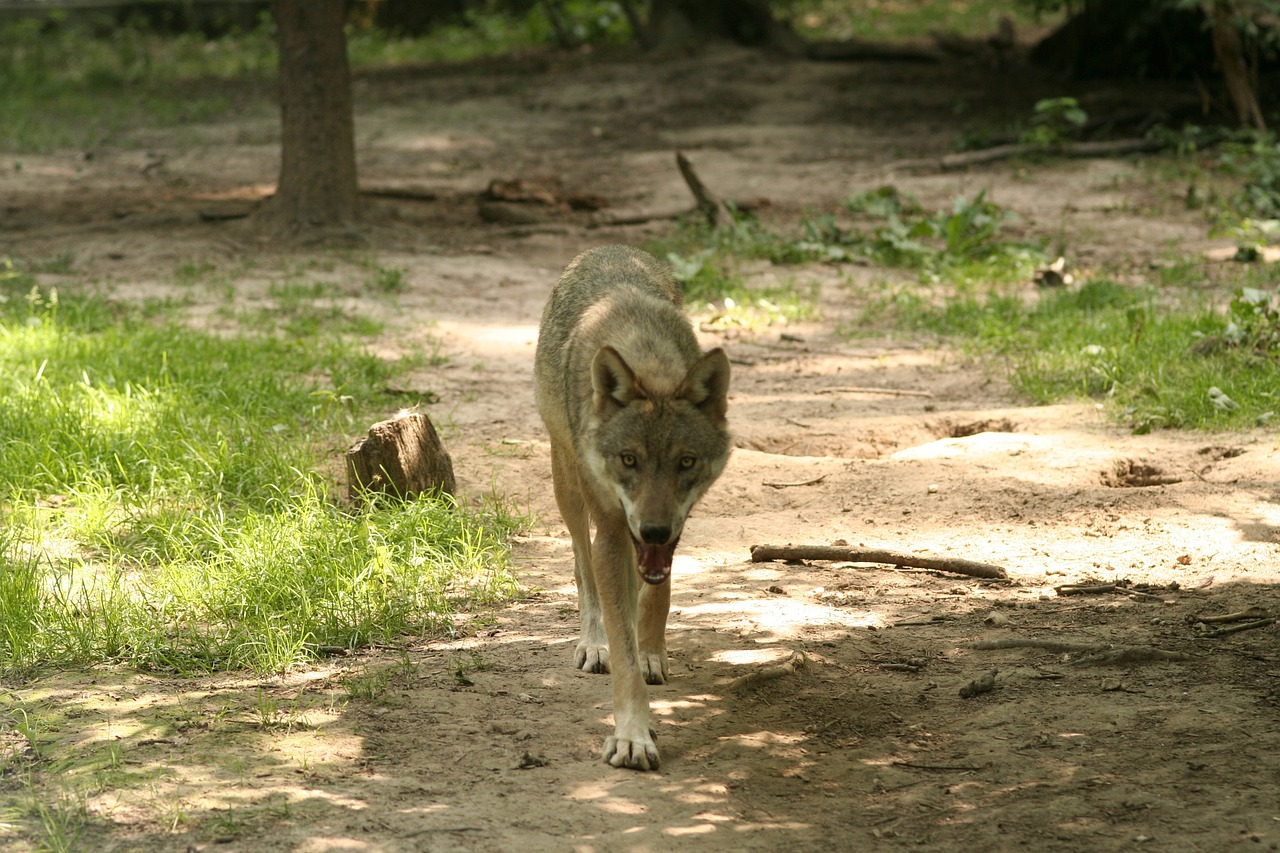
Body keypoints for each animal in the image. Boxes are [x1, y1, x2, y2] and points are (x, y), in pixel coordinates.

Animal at [532, 242, 732, 768]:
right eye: (629, 459)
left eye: (686, 462)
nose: (655, 531)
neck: (649, 359)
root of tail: (607, 247)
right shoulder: (610, 526)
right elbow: (620, 644)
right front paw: (632, 735)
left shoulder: (671, 526)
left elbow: (657, 594)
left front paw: (650, 652)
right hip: (569, 488)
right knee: (583, 569)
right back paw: (592, 642)